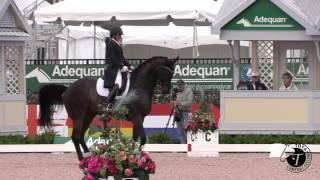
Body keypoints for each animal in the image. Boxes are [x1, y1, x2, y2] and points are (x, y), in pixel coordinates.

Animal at [38, 56, 178, 160]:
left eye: (172, 73)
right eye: (166, 72)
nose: (166, 92)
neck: (139, 87)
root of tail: (67, 90)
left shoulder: (139, 119)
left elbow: (135, 139)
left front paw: (132, 155)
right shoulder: (136, 117)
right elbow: (142, 139)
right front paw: (136, 156)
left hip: (88, 115)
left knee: (81, 136)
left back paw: (90, 156)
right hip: (79, 116)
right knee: (76, 137)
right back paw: (82, 159)